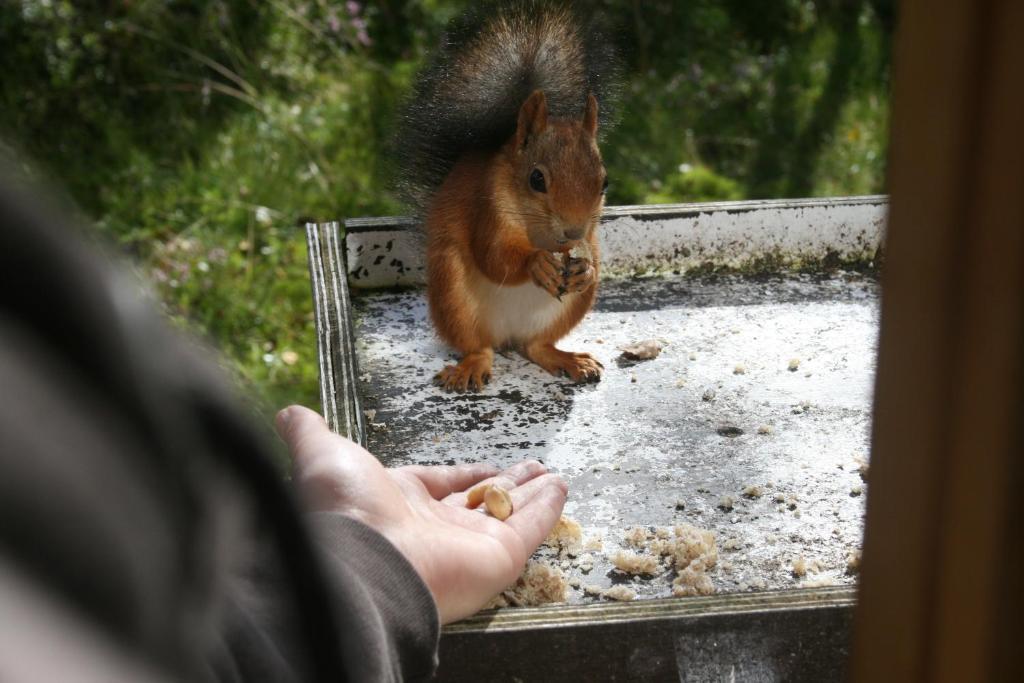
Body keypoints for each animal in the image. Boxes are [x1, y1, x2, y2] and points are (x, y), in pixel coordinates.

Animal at [391, 1, 614, 389]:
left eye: (604, 183)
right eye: (536, 179)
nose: (572, 231)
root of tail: (505, 335)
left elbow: (586, 252)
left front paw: (584, 267)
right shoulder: (488, 208)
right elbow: (493, 255)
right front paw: (535, 263)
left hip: (567, 310)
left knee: (536, 346)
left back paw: (567, 359)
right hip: (453, 295)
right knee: (478, 346)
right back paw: (471, 366)